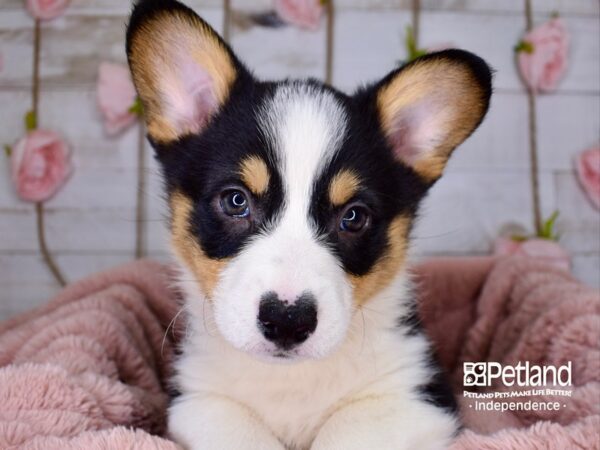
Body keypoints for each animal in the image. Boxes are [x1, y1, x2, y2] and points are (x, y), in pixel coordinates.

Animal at [126, 1, 492, 448]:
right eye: (235, 200)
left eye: (353, 216)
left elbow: (345, 430)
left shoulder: (415, 397)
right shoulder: (200, 401)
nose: (287, 321)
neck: (291, 380)